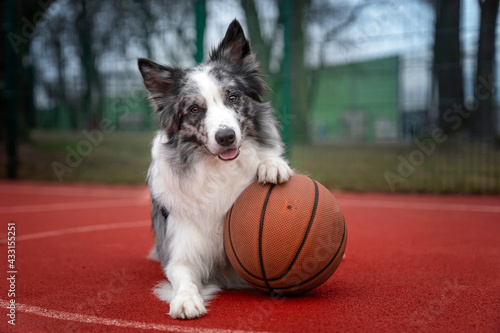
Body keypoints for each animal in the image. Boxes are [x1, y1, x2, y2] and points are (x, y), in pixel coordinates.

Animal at [138, 18, 292, 320]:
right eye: (195, 110)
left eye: (232, 97)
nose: (226, 137)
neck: (219, 170)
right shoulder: (181, 251)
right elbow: (183, 277)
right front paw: (186, 300)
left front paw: (271, 165)